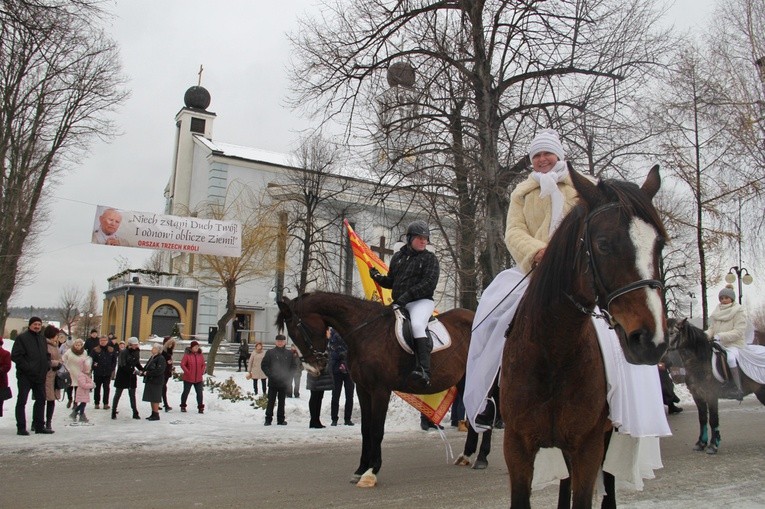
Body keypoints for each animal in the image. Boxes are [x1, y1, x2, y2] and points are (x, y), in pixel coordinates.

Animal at [274, 290, 472, 484]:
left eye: (297, 331)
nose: (313, 368)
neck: (366, 332)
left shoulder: (380, 390)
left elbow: (376, 430)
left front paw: (371, 471)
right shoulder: (362, 389)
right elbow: (366, 429)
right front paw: (361, 469)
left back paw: (474, 458)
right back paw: (468, 456)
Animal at [498, 165, 664, 506]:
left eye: (659, 245)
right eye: (603, 243)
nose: (650, 341)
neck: (552, 351)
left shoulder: (588, 445)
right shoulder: (517, 447)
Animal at [664, 318, 764, 452]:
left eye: (671, 333)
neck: (700, 363)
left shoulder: (711, 395)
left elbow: (713, 419)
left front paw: (713, 445)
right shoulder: (698, 396)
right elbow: (702, 419)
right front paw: (701, 443)